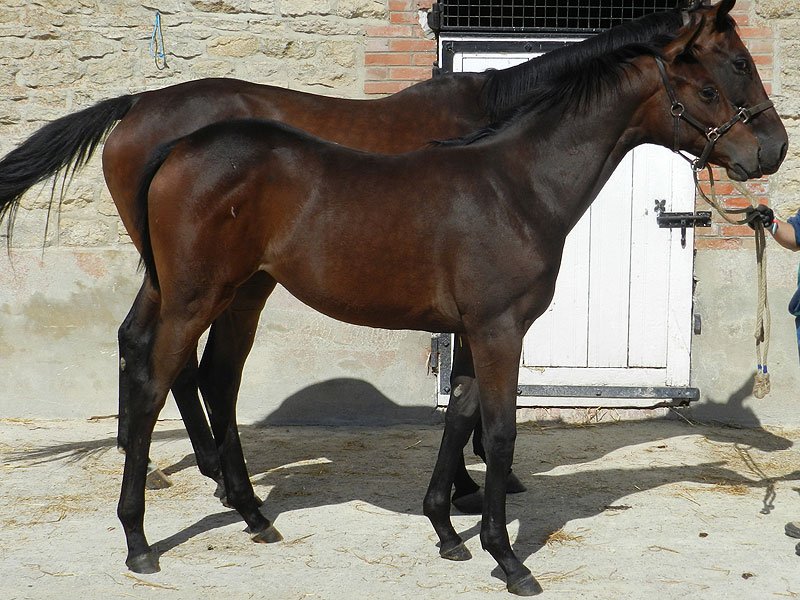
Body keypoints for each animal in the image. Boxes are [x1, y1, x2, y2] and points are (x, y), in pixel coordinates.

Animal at [0, 1, 786, 511]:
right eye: (733, 66)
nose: (773, 149)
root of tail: (139, 109)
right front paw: (473, 491)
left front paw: (463, 489)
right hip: (197, 280)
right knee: (171, 357)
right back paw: (213, 476)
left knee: (156, 350)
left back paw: (205, 472)